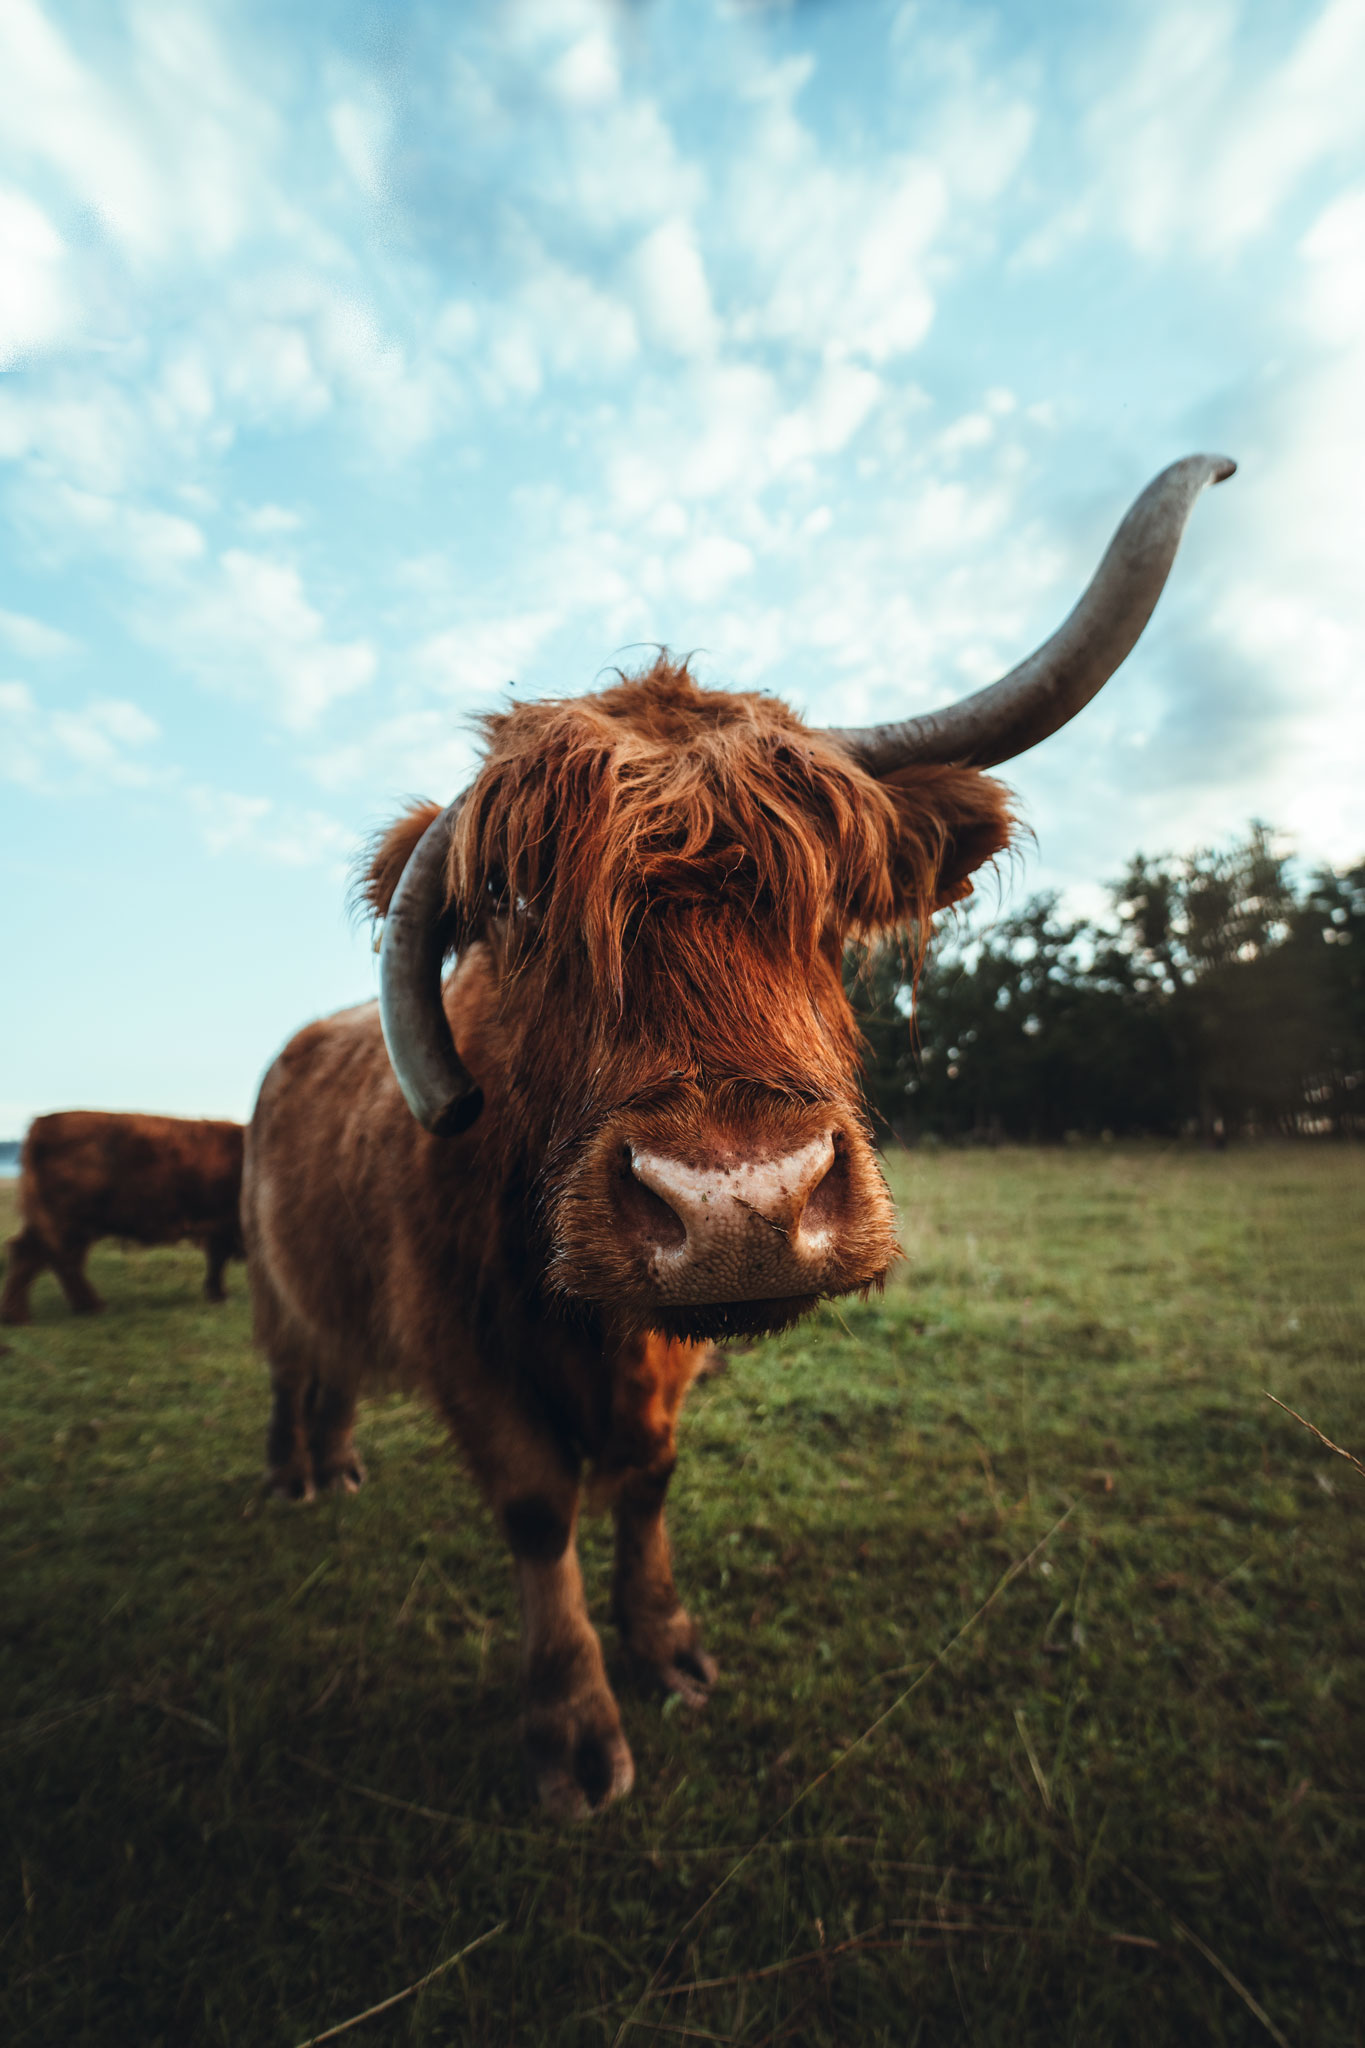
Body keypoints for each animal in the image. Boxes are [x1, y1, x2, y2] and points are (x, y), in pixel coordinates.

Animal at [1, 1114, 245, 1318]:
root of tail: (41, 1124)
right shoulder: (226, 1224)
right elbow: (219, 1258)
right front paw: (219, 1295)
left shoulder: (221, 1226)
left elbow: (217, 1258)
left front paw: (216, 1294)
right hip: (66, 1221)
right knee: (42, 1255)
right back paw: (26, 1314)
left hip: (66, 1224)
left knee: (51, 1257)